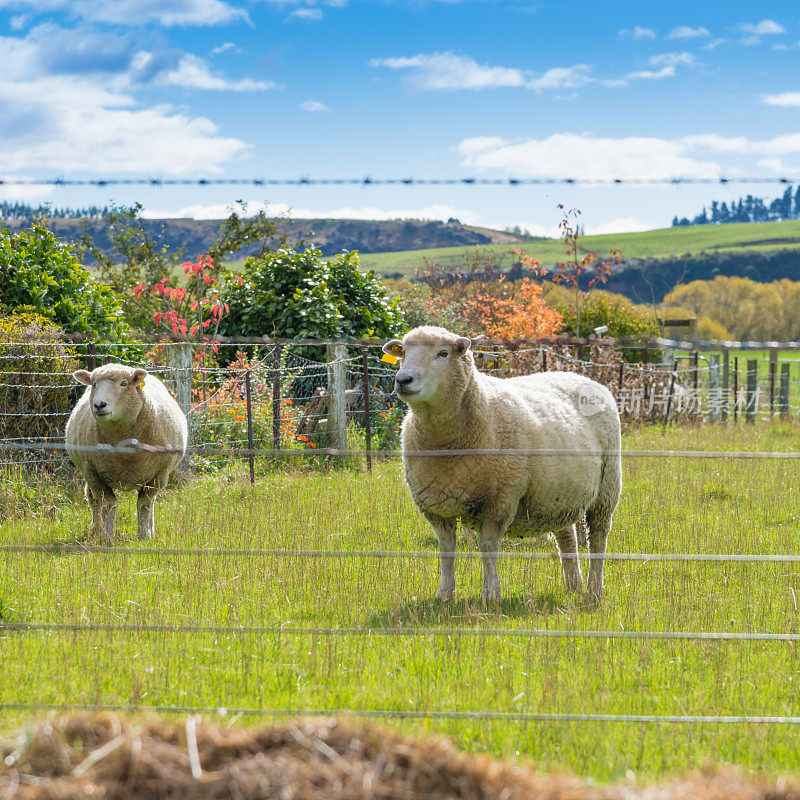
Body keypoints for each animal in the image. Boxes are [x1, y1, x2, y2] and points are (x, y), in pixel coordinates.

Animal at [65, 364, 189, 540]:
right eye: (94, 384)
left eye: (123, 383)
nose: (99, 405)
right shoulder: (93, 471)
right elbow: (108, 504)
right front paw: (107, 537)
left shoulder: (160, 474)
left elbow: (144, 504)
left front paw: (144, 536)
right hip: (88, 472)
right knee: (93, 499)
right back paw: (96, 530)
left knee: (151, 502)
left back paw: (151, 530)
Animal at [384, 324, 620, 600]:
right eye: (402, 353)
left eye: (443, 353)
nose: (403, 380)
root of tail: (579, 376)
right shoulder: (435, 506)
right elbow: (446, 549)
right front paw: (444, 594)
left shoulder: (499, 498)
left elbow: (487, 546)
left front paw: (490, 594)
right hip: (558, 494)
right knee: (567, 537)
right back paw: (573, 585)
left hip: (607, 487)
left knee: (599, 537)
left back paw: (594, 589)